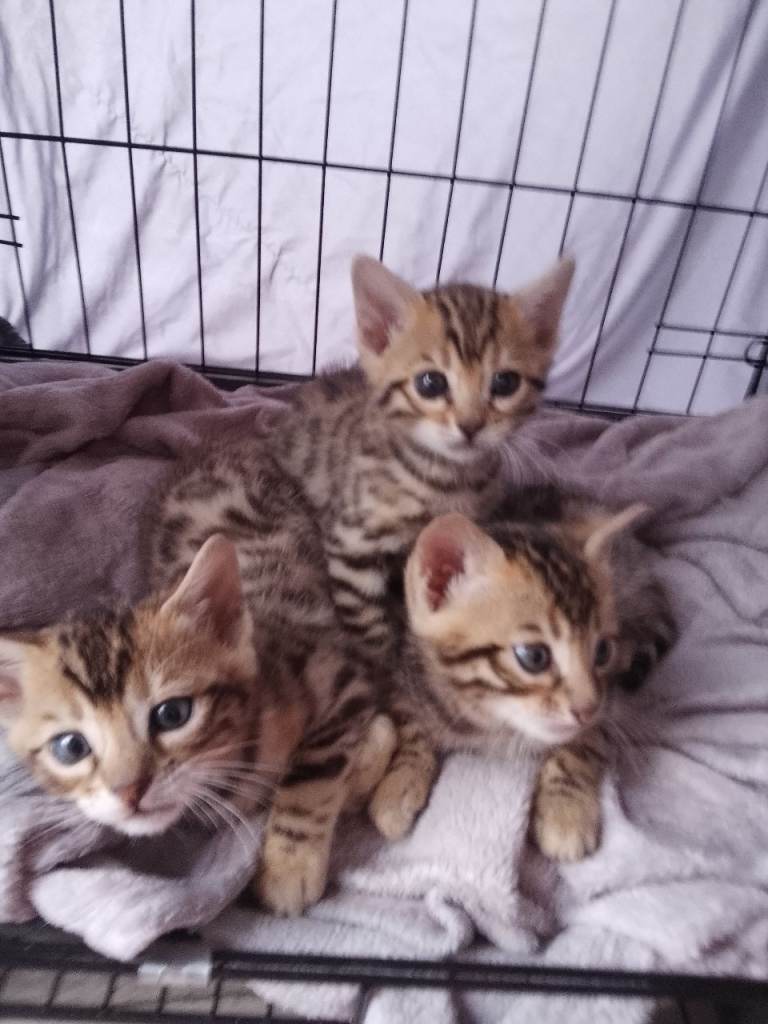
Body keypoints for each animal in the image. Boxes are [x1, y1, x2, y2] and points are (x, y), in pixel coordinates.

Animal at [0, 445, 395, 917]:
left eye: (172, 714)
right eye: (71, 747)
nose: (128, 791)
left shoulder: (337, 671)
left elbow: (315, 771)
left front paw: (289, 867)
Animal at [272, 254, 575, 663]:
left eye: (505, 383)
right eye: (431, 383)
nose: (470, 425)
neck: (442, 479)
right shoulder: (350, 543)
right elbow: (367, 623)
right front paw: (385, 665)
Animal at [367, 488, 676, 861]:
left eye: (602, 651)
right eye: (534, 657)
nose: (586, 708)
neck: (489, 721)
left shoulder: (609, 700)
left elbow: (583, 743)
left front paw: (566, 810)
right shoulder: (401, 672)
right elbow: (409, 725)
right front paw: (399, 783)